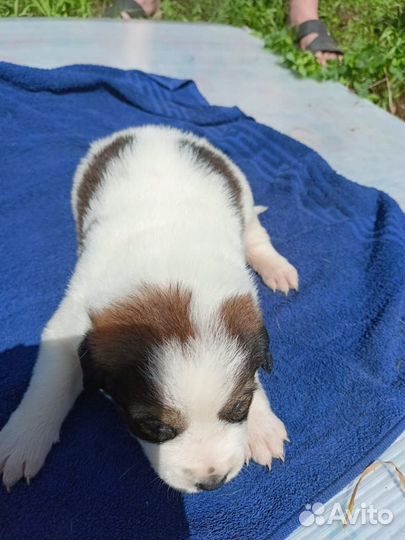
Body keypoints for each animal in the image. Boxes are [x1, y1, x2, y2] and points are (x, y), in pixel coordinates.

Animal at [0, 124, 296, 492]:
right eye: (155, 427)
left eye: (239, 407)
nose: (212, 482)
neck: (171, 273)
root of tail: (156, 130)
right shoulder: (70, 323)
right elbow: (49, 382)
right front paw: (22, 439)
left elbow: (252, 373)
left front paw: (261, 424)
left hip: (241, 189)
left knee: (256, 234)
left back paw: (276, 267)